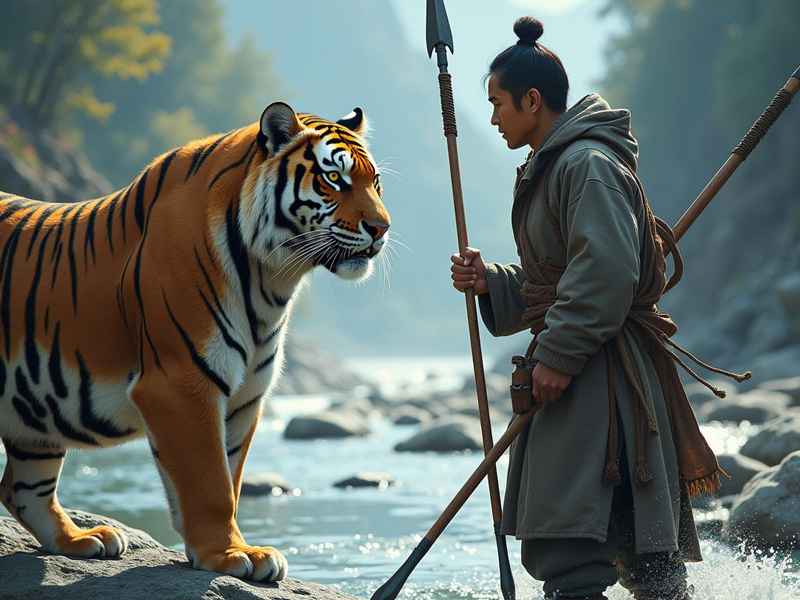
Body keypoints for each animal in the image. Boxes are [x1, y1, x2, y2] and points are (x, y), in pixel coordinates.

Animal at [0, 102, 390, 582]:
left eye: (375, 182)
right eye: (334, 178)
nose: (382, 228)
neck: (270, 280)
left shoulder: (244, 396)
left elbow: (229, 478)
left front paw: (219, 550)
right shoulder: (181, 384)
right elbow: (210, 482)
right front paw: (230, 556)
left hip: (34, 418)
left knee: (22, 488)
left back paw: (81, 540)